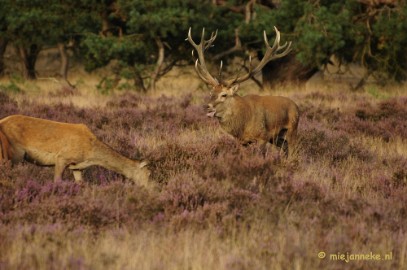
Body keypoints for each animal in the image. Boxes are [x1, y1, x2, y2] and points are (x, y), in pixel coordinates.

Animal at [0, 115, 153, 189]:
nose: (150, 190)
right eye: (148, 174)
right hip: (14, 154)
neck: (91, 154)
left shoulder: (77, 167)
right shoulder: (61, 158)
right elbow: (57, 181)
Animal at [188, 26, 300, 156]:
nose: (207, 106)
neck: (243, 124)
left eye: (224, 95)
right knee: (285, 148)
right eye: (211, 93)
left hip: (292, 129)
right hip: (277, 137)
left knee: (293, 150)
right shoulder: (241, 141)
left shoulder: (263, 136)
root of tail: (297, 107)